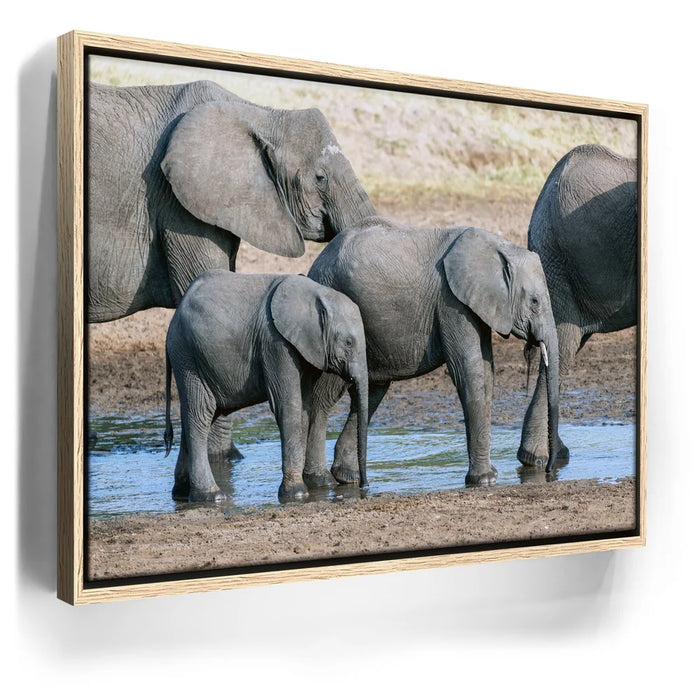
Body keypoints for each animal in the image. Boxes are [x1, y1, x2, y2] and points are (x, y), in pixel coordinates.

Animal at [163, 269, 369, 503]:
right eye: (349, 343)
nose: (364, 485)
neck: (317, 292)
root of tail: (173, 320)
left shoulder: (304, 349)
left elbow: (304, 408)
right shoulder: (276, 343)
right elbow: (289, 407)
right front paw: (296, 494)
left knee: (201, 414)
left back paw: (181, 494)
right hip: (188, 358)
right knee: (200, 415)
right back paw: (211, 496)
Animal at [303, 217, 560, 489]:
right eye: (534, 302)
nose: (550, 469)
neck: (500, 247)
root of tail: (315, 264)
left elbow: (486, 373)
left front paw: (490, 476)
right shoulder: (451, 301)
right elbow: (468, 371)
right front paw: (484, 480)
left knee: (371, 392)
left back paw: (348, 477)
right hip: (332, 320)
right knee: (324, 396)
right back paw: (319, 481)